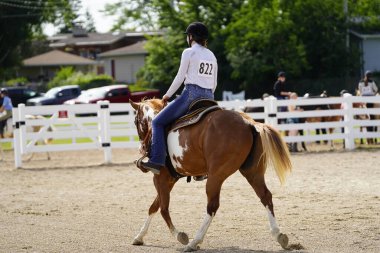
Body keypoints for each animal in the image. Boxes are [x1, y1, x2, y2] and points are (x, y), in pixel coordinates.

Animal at [129, 98, 292, 251]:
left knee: (212, 206)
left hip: (216, 176)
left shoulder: (160, 178)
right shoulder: (169, 180)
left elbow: (163, 209)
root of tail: (249, 123)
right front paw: (139, 236)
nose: (142, 147)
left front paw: (180, 235)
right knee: (265, 196)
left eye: (136, 121)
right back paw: (279, 235)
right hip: (253, 172)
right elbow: (154, 207)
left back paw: (194, 242)